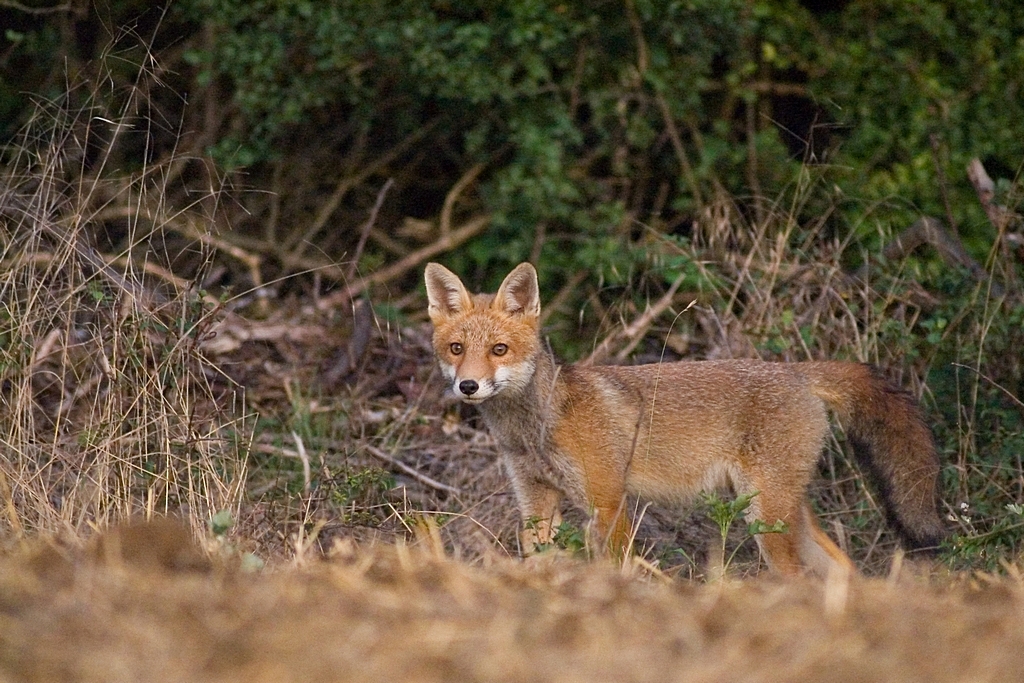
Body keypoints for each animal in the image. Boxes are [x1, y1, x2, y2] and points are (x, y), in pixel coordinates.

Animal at [421, 262, 942, 577]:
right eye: (457, 349)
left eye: (499, 350)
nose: (468, 387)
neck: (535, 430)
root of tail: (796, 369)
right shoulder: (535, 501)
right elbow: (540, 562)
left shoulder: (607, 502)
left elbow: (618, 566)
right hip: (785, 512)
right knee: (842, 569)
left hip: (766, 518)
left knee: (797, 577)